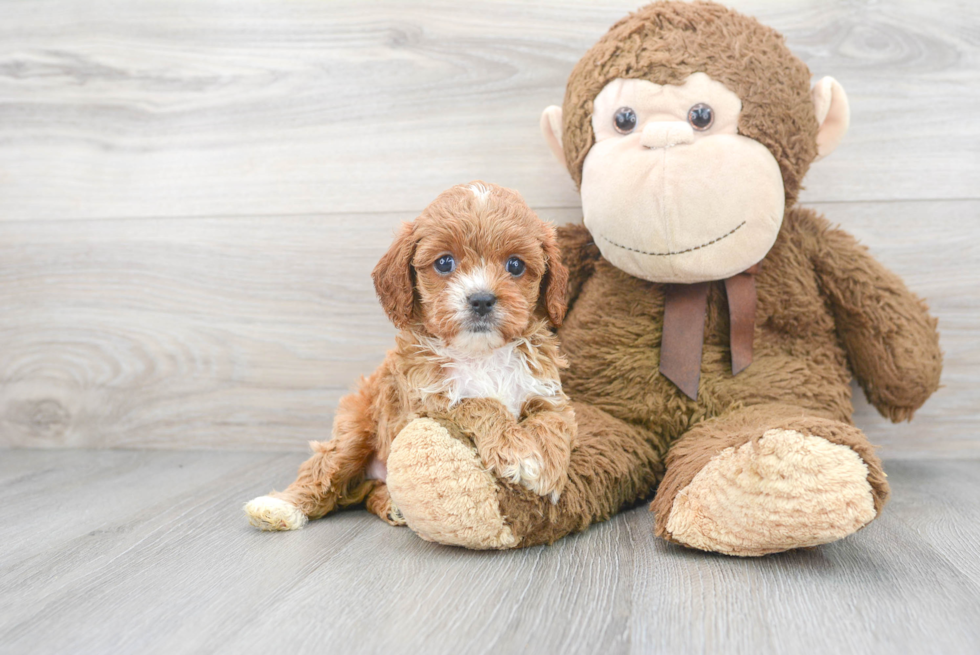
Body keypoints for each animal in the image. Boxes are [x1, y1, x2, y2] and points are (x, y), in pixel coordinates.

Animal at [245, 182, 580, 532]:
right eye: (444, 263)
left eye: (515, 265)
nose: (481, 300)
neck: (480, 354)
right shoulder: (425, 401)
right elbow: (479, 403)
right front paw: (518, 452)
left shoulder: (547, 394)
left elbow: (553, 422)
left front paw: (547, 467)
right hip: (357, 427)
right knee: (325, 466)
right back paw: (281, 505)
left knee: (370, 492)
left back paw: (392, 506)